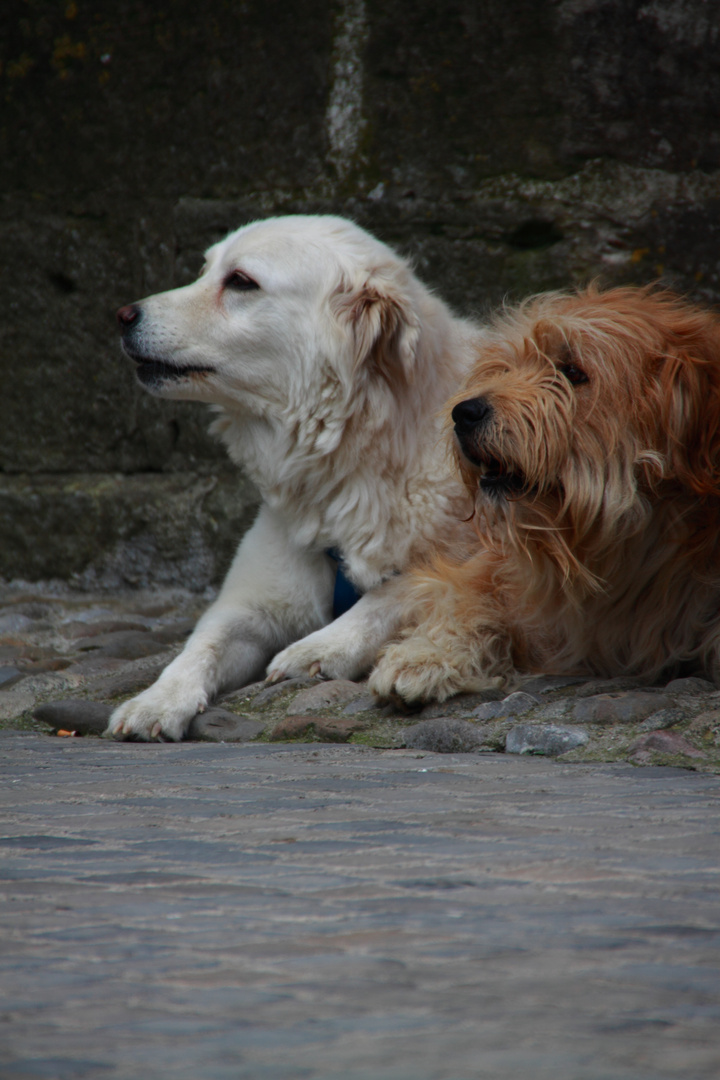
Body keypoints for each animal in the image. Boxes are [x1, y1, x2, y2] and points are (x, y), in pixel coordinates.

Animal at [106, 214, 481, 738]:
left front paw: (321, 647)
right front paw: (156, 701)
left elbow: (395, 591)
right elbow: (199, 645)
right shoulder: (250, 603)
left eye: (241, 281)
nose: (123, 315)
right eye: (205, 270)